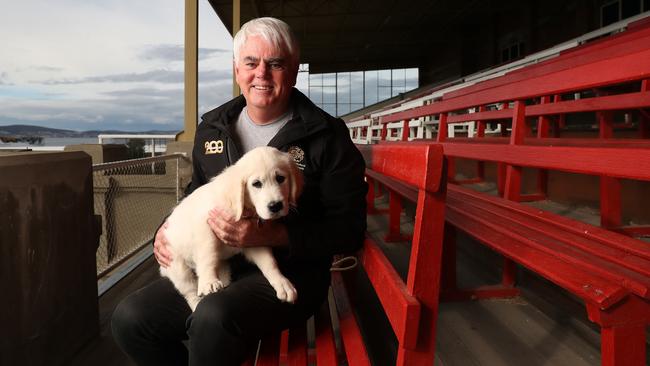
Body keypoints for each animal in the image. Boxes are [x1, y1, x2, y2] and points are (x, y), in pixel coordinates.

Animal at [162, 147, 304, 312]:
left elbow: (269, 262)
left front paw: (282, 283)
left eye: (280, 178)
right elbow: (207, 255)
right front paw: (208, 281)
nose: (275, 206)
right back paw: (197, 303)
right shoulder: (205, 227)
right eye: (256, 184)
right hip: (177, 267)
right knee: (189, 291)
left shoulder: (251, 240)